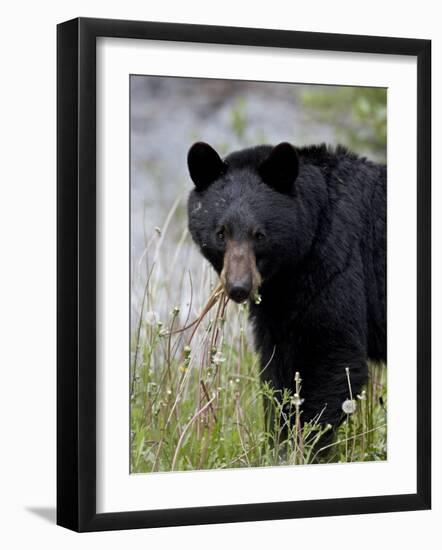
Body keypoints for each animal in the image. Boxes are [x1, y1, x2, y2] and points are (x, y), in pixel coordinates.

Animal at [185, 141, 386, 440]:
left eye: (259, 235)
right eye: (221, 233)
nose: (239, 288)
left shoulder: (335, 265)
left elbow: (331, 357)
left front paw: (304, 442)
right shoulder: (279, 300)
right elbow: (278, 367)